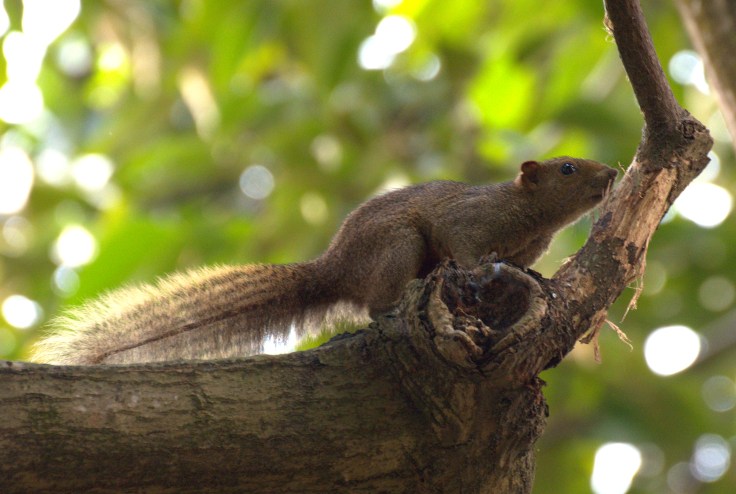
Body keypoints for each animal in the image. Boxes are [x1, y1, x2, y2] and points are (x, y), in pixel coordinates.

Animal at [31, 157, 617, 365]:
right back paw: (388, 310)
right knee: (377, 304)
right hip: (398, 247)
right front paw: (482, 272)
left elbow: (524, 266)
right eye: (566, 169)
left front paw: (532, 275)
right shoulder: (469, 222)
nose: (612, 173)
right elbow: (468, 251)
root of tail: (334, 269)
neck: (529, 216)